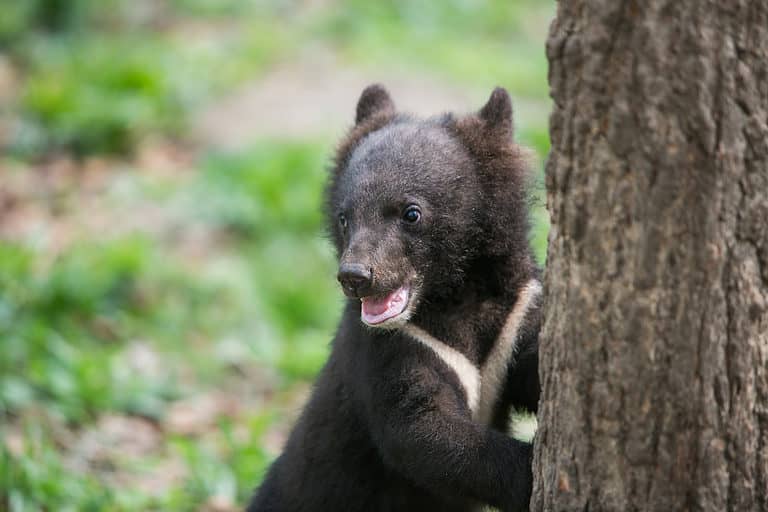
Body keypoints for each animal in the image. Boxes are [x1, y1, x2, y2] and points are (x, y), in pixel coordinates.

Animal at [249, 85, 544, 512]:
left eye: (411, 213)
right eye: (344, 217)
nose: (355, 277)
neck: (453, 299)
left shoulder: (515, 314)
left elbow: (536, 363)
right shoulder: (393, 345)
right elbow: (420, 429)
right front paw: (528, 469)